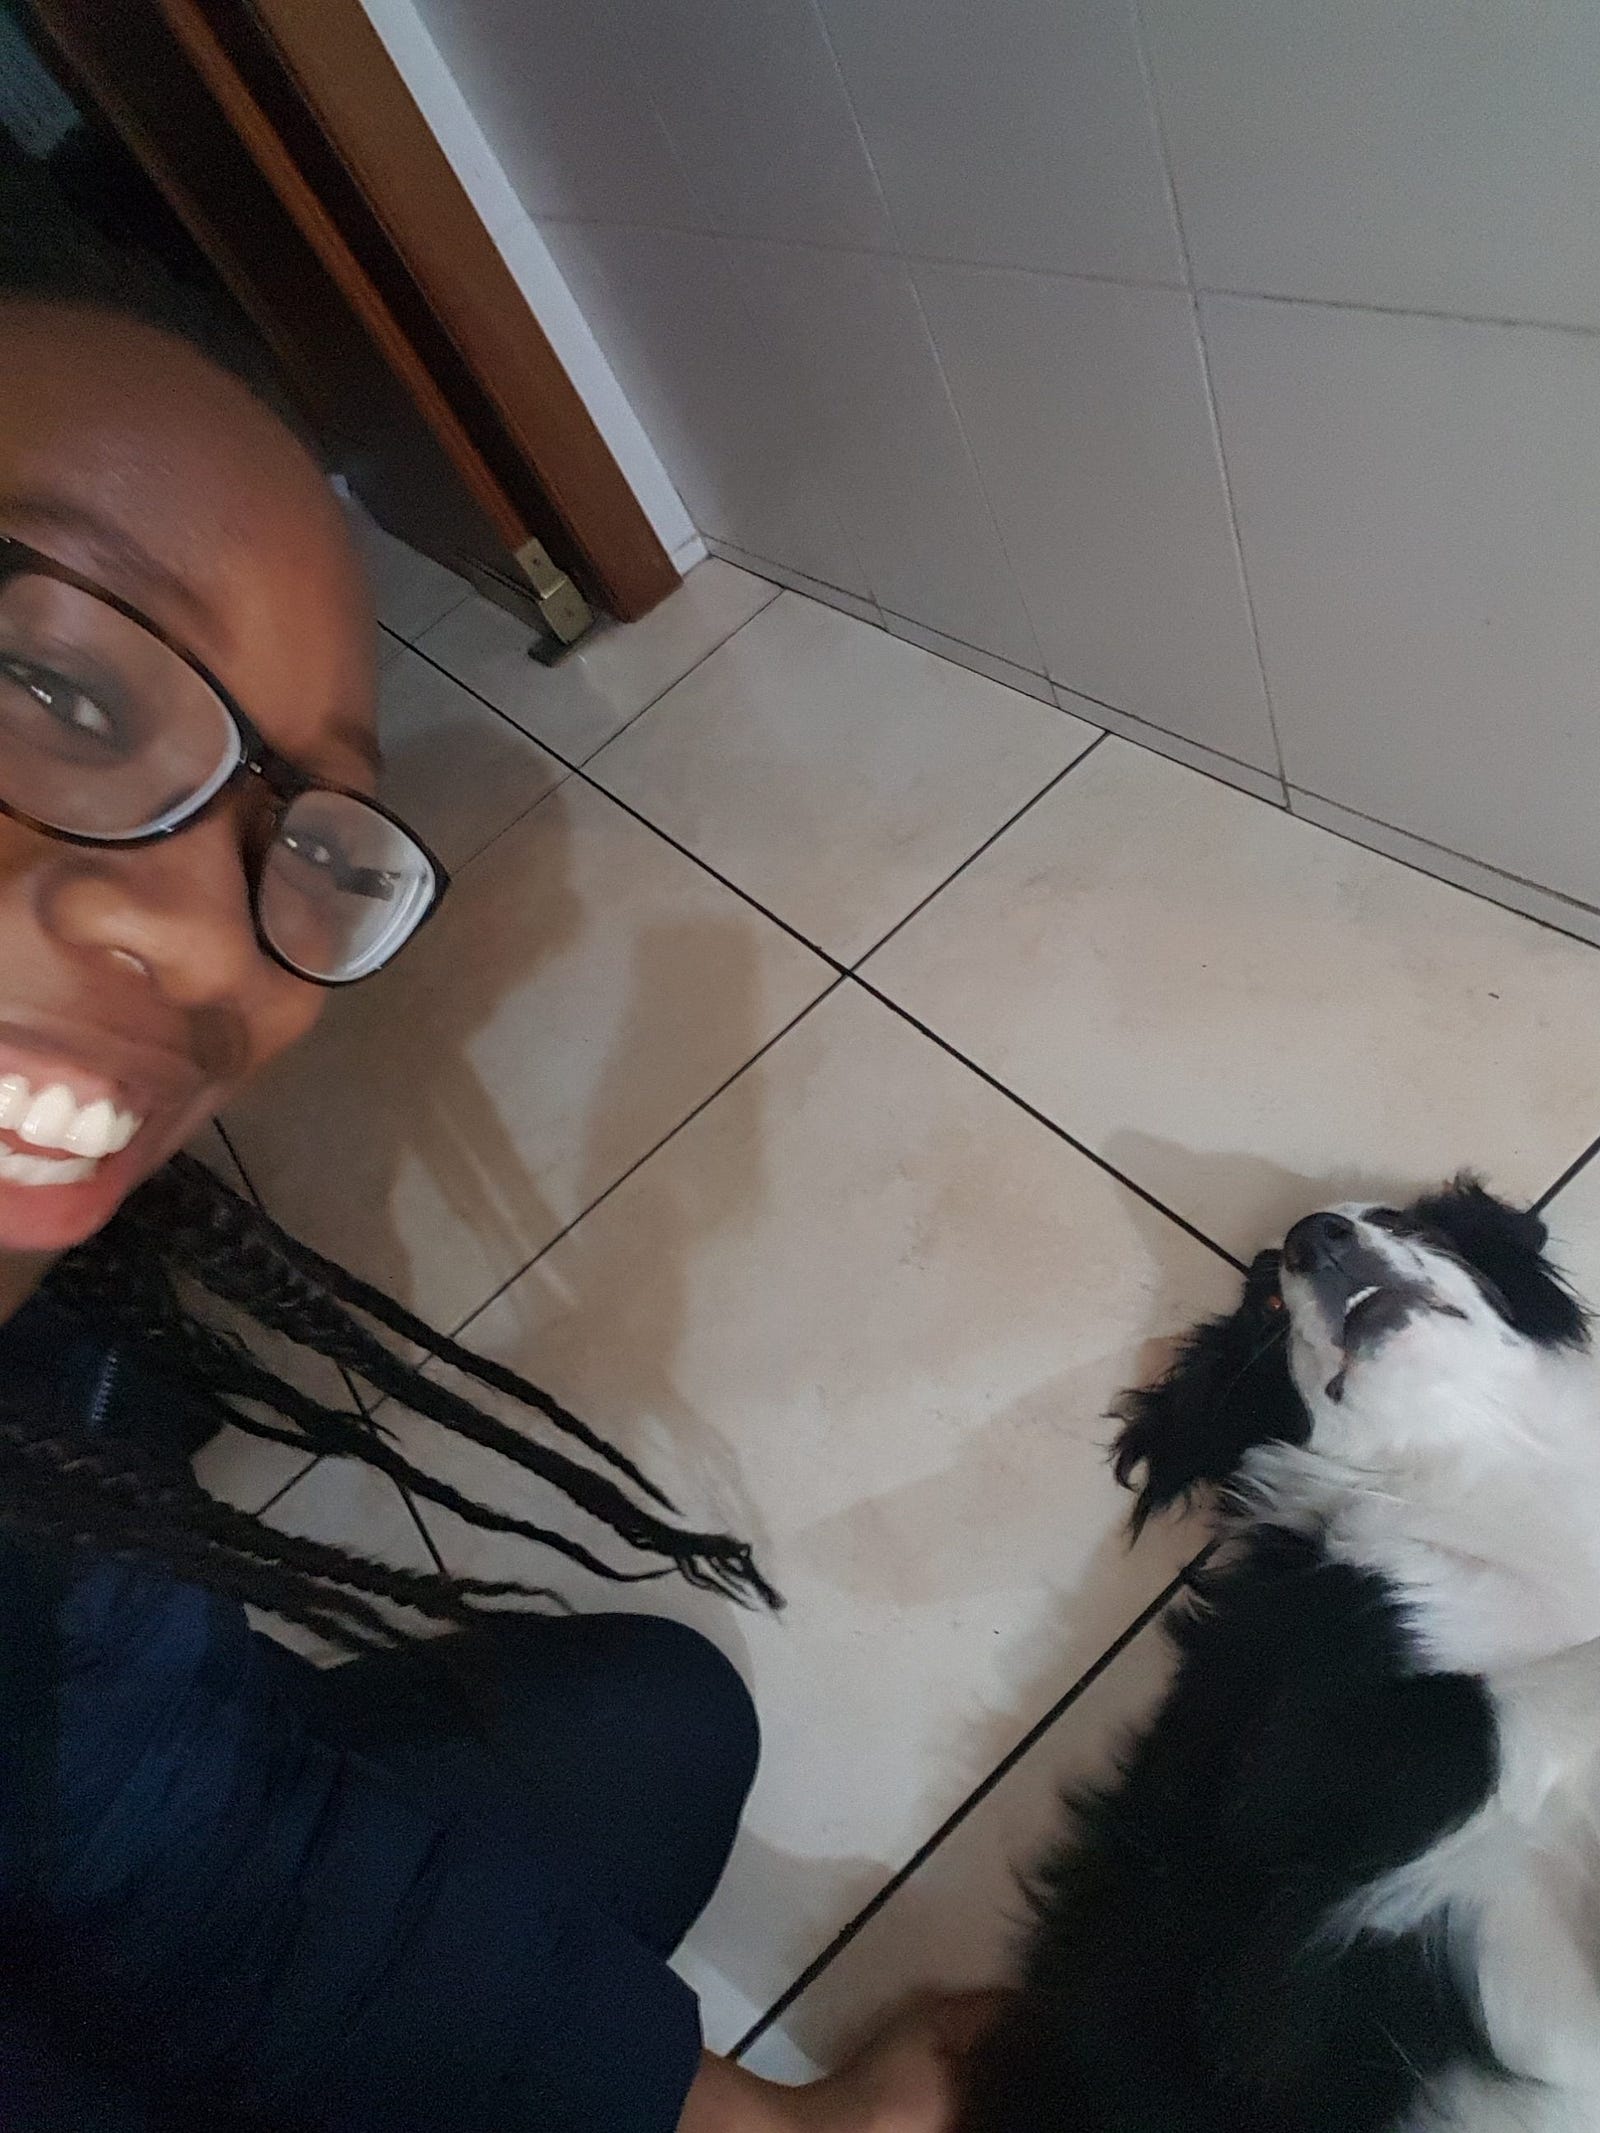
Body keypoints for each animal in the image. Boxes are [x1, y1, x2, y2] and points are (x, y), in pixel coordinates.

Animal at [965, 1178, 1600, 2132]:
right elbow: (1537, 1682)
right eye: (1266, 1300)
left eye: (1403, 1221)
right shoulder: (1296, 1779)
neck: (1475, 1474)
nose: (1316, 1236)